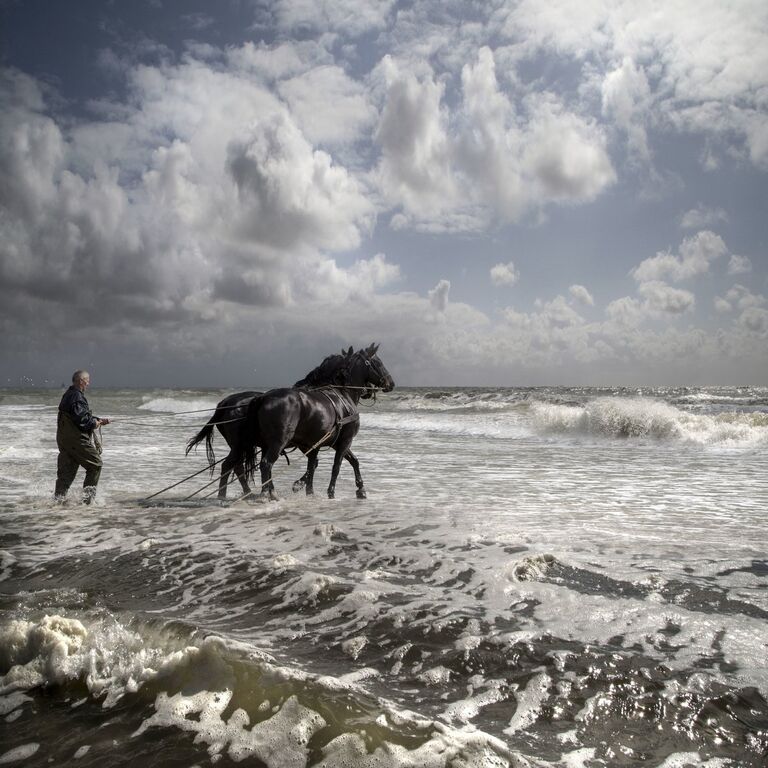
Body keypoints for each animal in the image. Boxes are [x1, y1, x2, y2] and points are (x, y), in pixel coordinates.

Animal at [240, 344, 396, 500]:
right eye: (379, 363)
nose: (391, 383)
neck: (344, 394)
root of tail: (264, 397)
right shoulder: (345, 440)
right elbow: (336, 466)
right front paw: (331, 492)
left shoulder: (324, 443)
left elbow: (347, 461)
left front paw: (360, 489)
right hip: (279, 442)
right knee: (266, 464)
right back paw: (269, 493)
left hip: (267, 443)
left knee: (263, 465)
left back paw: (267, 491)